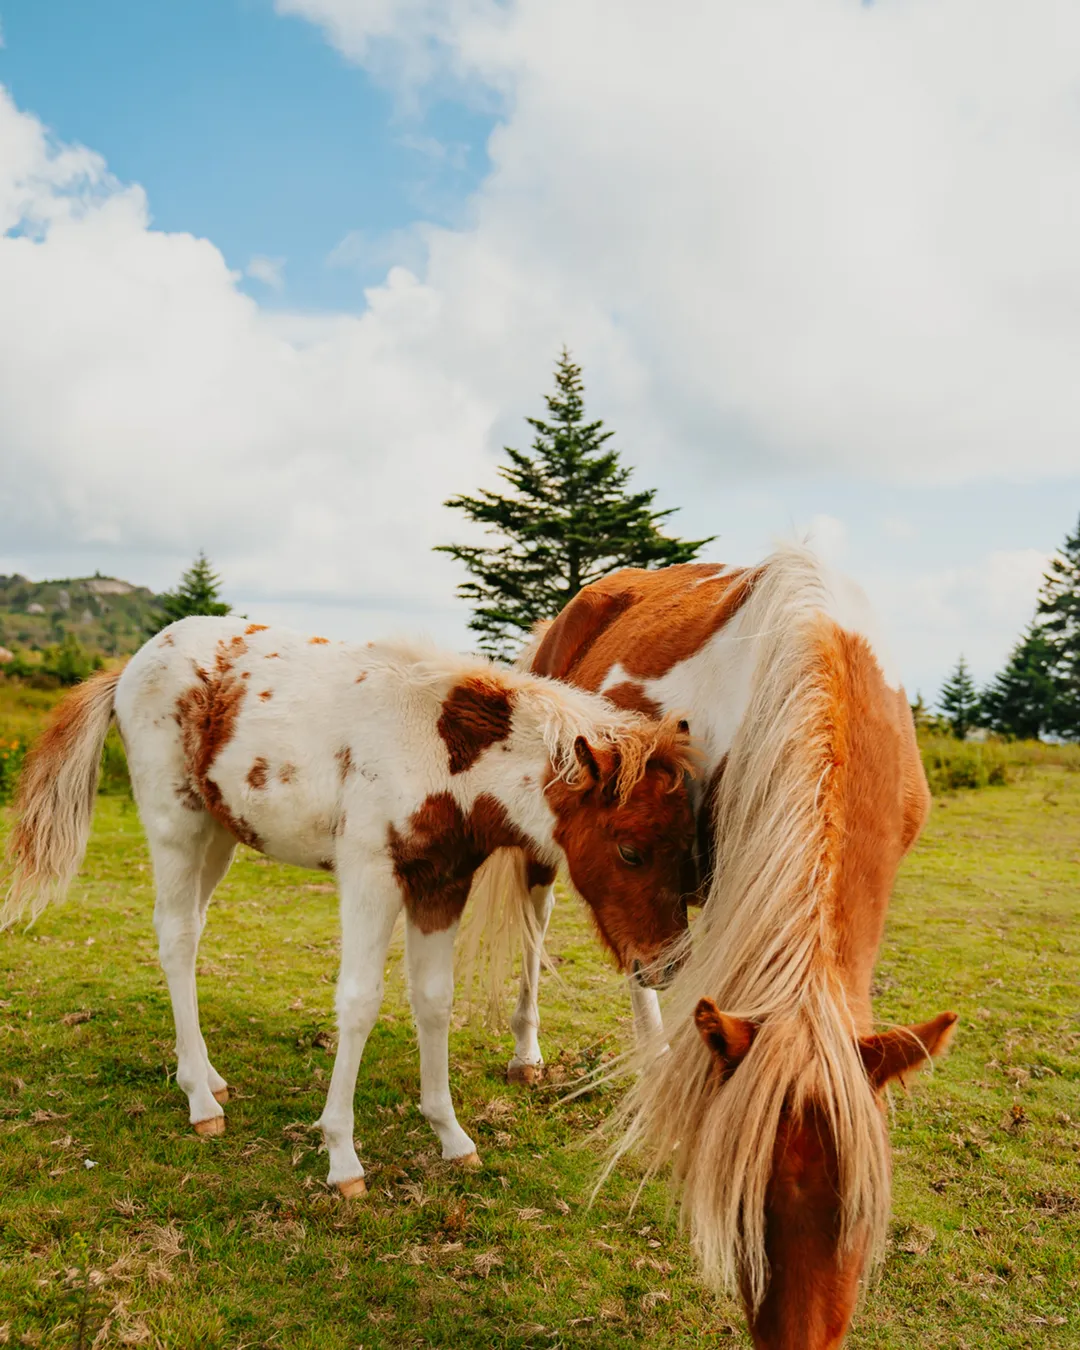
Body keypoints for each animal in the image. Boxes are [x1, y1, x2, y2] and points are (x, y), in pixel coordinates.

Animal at [4, 618, 696, 1198]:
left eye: (687, 843)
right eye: (630, 850)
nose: (665, 966)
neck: (441, 753)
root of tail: (133, 664)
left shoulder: (442, 884)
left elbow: (434, 1001)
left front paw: (452, 1136)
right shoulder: (371, 876)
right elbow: (360, 1002)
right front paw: (342, 1158)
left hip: (220, 836)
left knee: (190, 932)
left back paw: (199, 1074)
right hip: (177, 822)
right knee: (175, 937)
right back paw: (202, 1102)